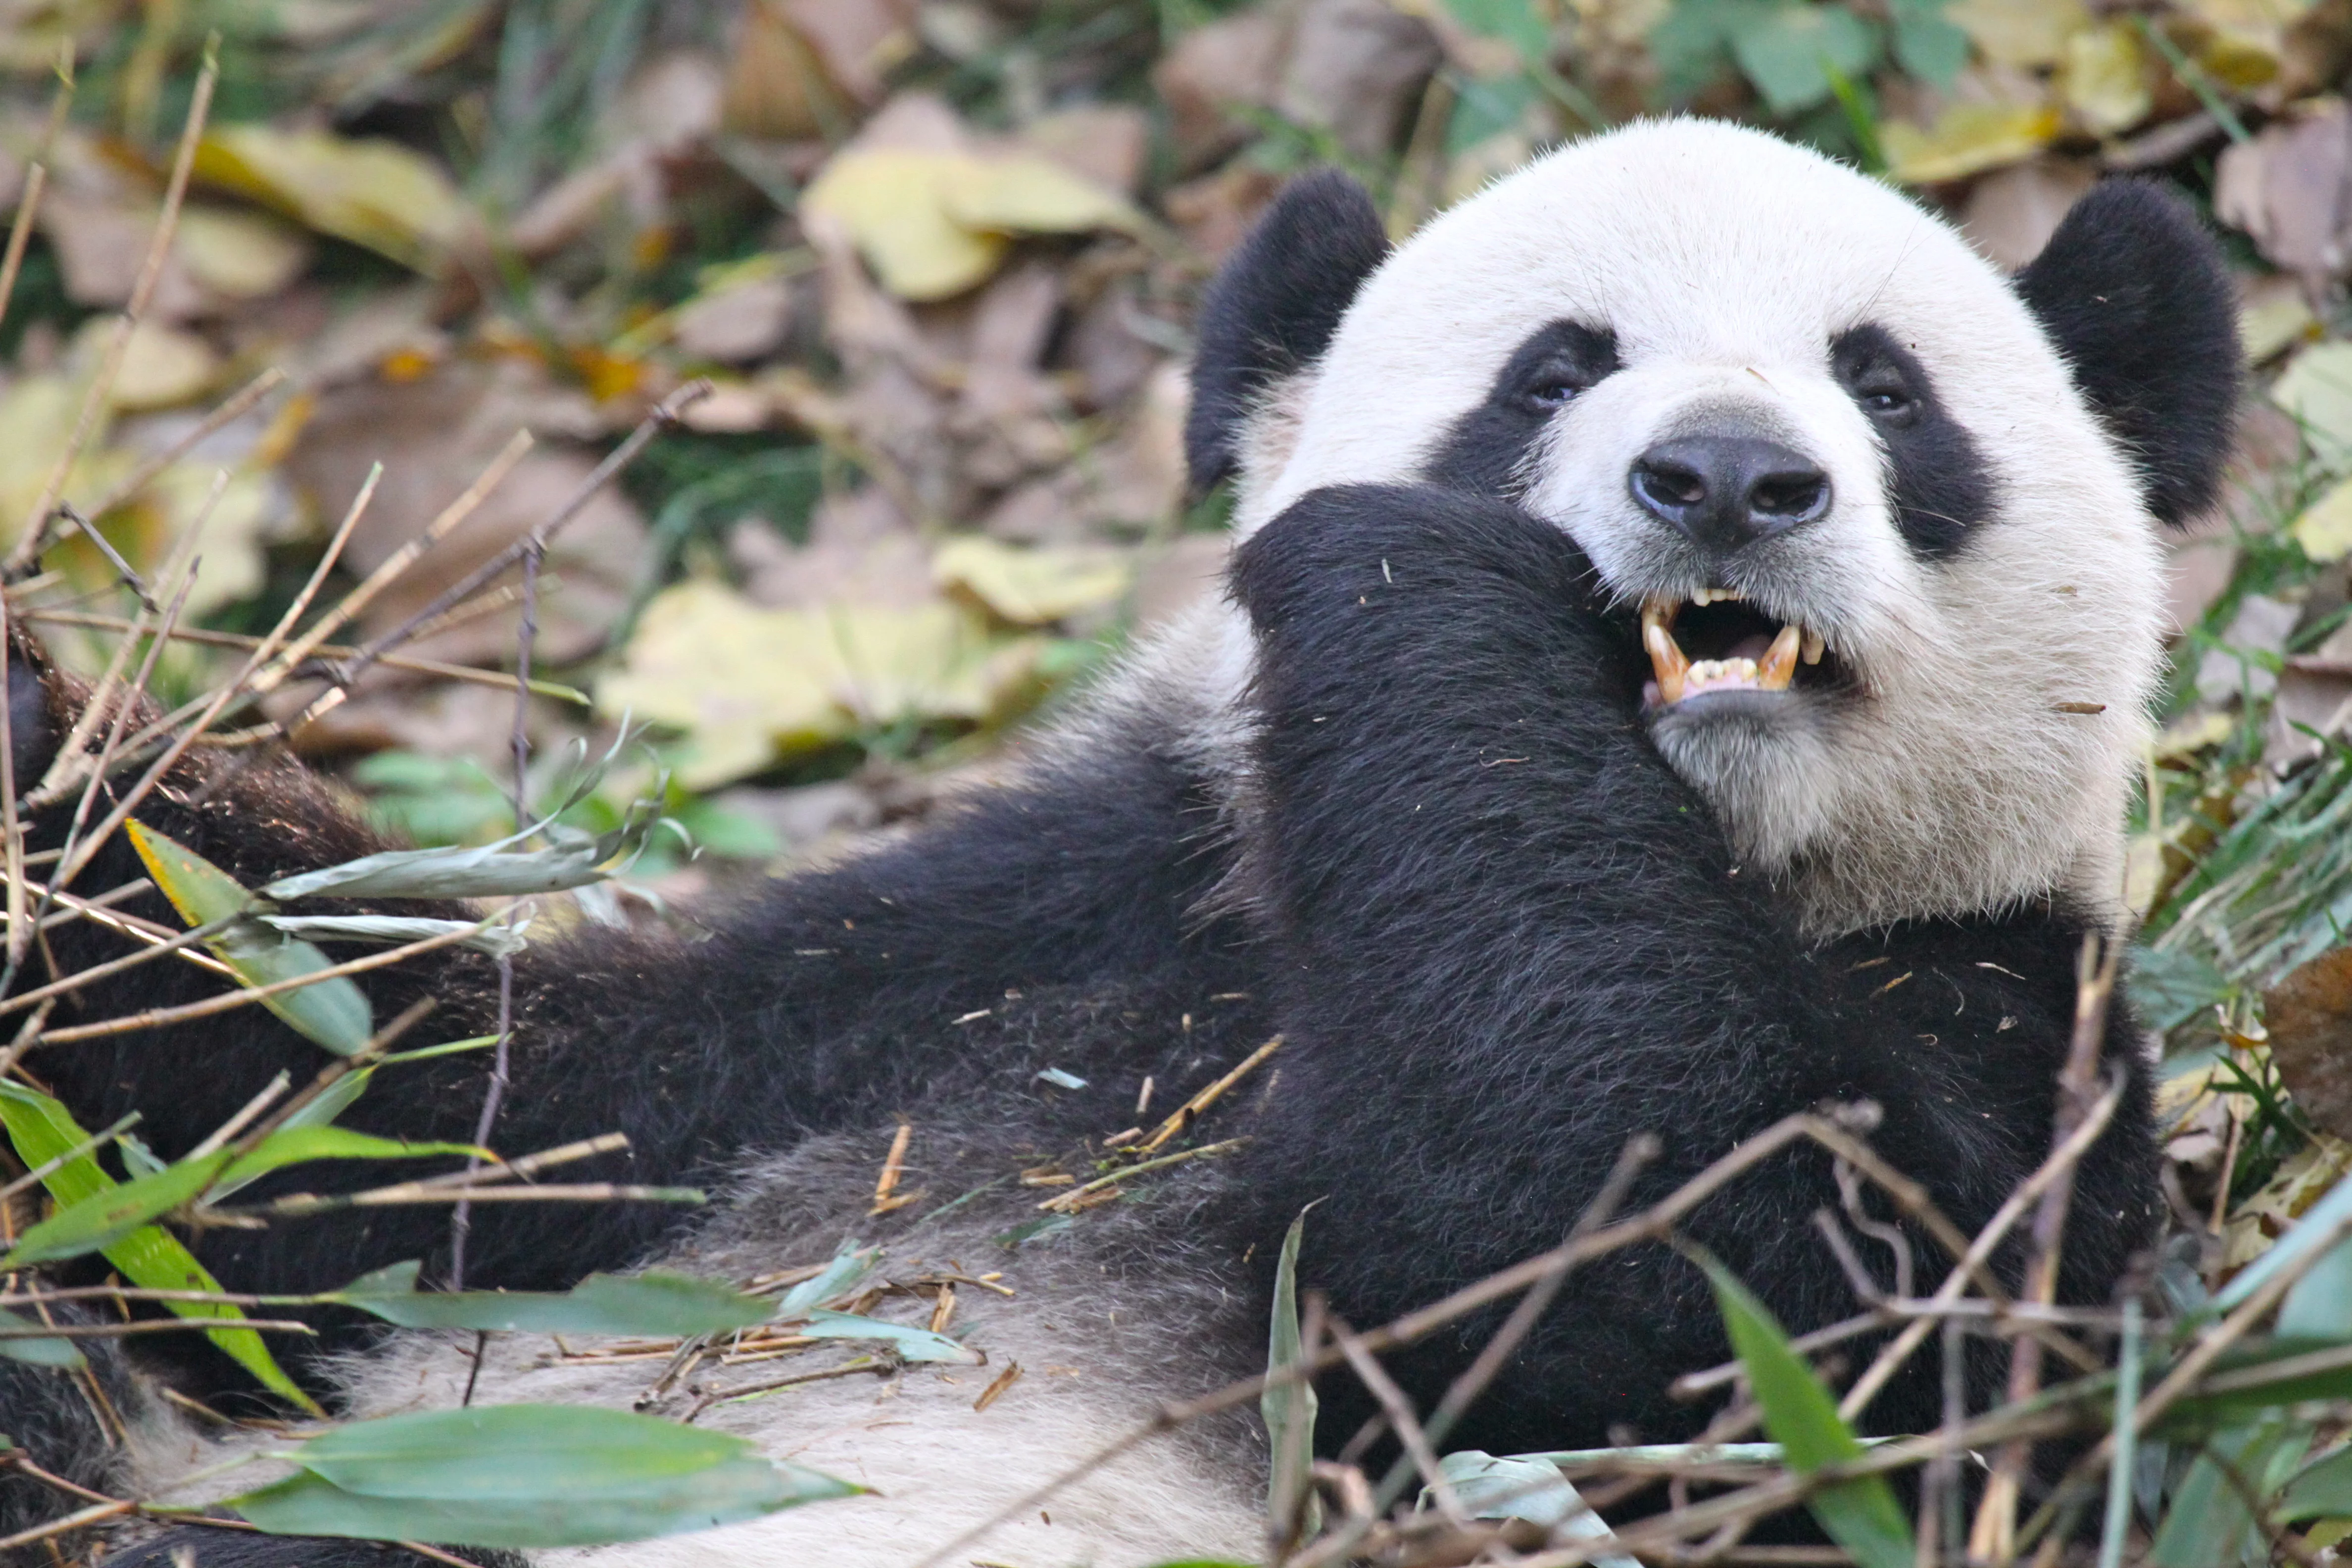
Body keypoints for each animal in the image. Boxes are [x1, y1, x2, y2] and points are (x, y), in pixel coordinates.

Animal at [0, 116, 2238, 1567]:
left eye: (1888, 388)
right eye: (1554, 371)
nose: (1726, 477)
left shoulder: (2016, 1010)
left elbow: (1758, 1277)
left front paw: (1414, 584)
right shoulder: (1007, 949)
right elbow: (401, 1138)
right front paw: (69, 776)